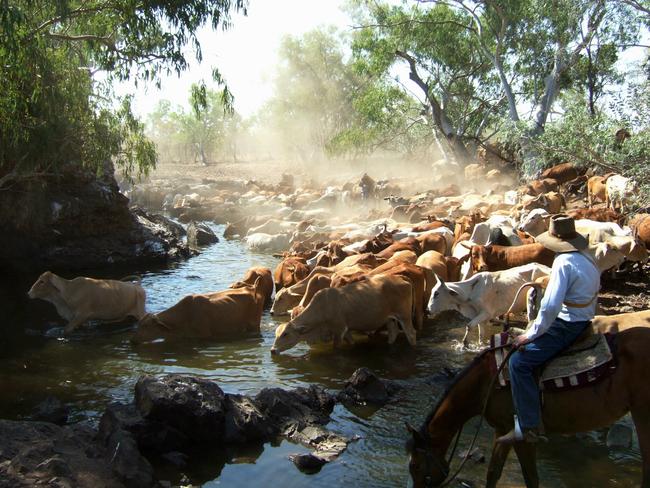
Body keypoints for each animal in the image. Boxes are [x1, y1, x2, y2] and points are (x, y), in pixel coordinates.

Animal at [132, 278, 266, 344]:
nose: (132, 340)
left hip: (254, 324)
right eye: (138, 324)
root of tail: (252, 287)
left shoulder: (204, 335)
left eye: (146, 326)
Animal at [270, 276, 416, 352]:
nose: (273, 350)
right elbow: (352, 342)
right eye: (276, 334)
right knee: (393, 332)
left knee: (411, 333)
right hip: (390, 319)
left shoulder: (339, 330)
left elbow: (336, 347)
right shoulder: (346, 331)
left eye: (285, 334)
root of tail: (405, 281)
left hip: (404, 315)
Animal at [404, 328, 648, 488]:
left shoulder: (523, 436)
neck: (486, 383)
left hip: (643, 414)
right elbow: (493, 472)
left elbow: (531, 478)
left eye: (415, 466)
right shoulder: (502, 430)